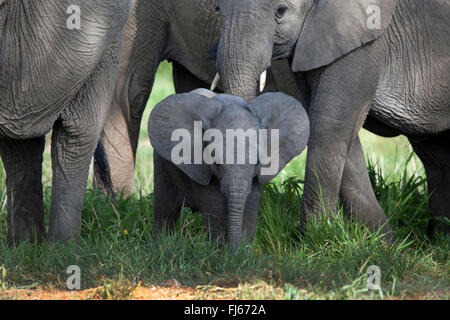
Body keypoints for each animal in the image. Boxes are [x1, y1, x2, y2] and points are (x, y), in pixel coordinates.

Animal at [149, 89, 310, 251]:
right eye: (216, 163)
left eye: (258, 163)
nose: (234, 250)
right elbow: (216, 208)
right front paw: (221, 252)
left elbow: (250, 207)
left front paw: (243, 252)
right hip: (161, 163)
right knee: (165, 210)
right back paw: (162, 245)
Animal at [214, 0, 450, 239]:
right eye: (218, 10)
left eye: (280, 11)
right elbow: (337, 129)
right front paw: (383, 241)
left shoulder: (364, 41)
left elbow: (329, 125)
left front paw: (319, 235)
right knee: (436, 156)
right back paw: (438, 239)